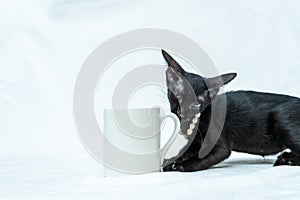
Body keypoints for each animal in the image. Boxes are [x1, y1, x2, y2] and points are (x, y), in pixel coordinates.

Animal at [163, 49, 300, 172]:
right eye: (178, 96)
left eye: (195, 105)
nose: (181, 113)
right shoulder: (195, 143)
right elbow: (187, 151)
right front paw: (173, 161)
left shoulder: (221, 147)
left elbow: (202, 158)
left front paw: (181, 165)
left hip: (280, 117)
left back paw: (286, 159)